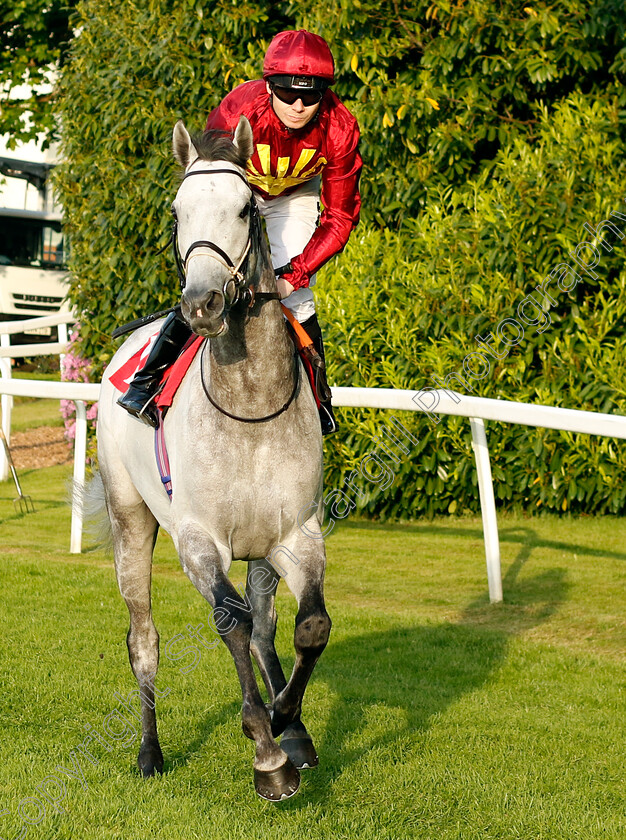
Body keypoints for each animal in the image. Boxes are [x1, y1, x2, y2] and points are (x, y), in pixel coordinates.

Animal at [95, 118, 330, 800]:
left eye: (246, 207)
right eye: (176, 211)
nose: (200, 303)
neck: (249, 405)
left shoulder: (296, 533)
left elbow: (309, 627)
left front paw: (286, 721)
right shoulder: (198, 540)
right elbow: (230, 620)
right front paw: (267, 756)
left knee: (267, 621)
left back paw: (292, 727)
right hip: (129, 520)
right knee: (144, 638)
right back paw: (150, 752)